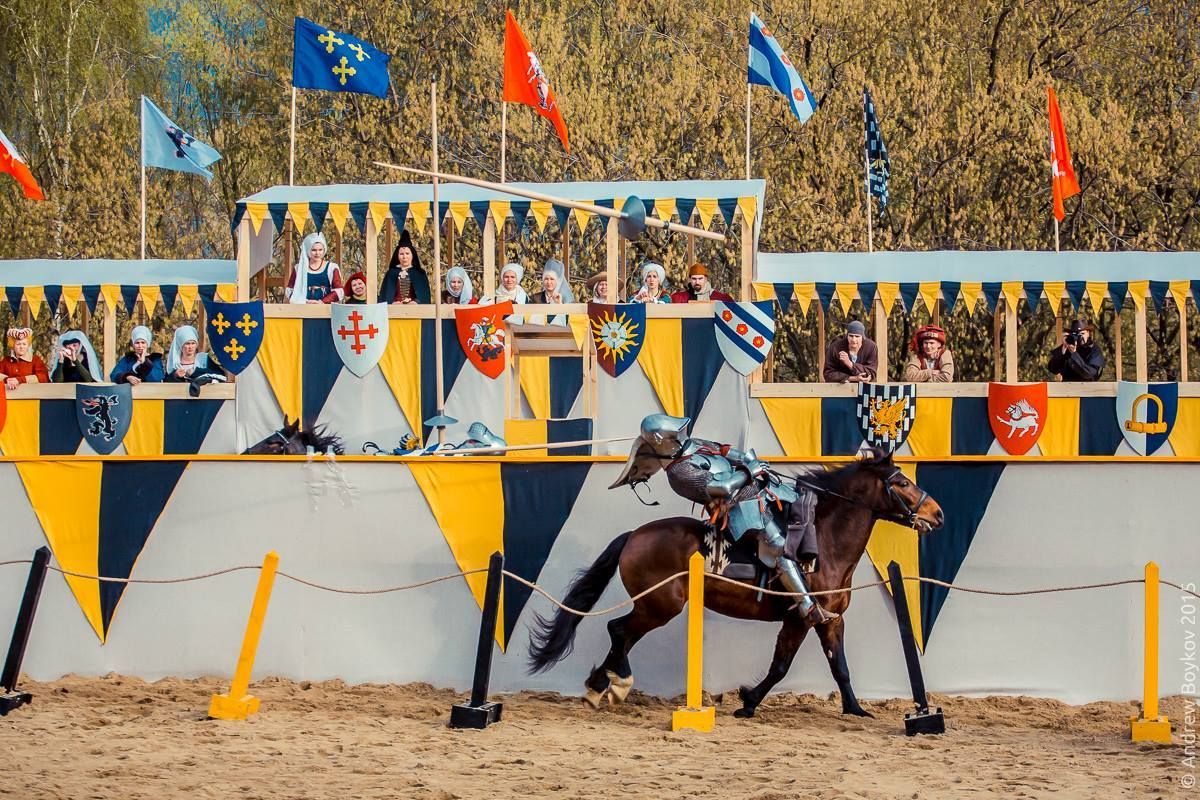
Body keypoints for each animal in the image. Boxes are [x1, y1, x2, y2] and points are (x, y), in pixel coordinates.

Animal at [527, 449, 944, 718]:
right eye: (901, 482)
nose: (937, 514)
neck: (824, 541)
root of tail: (633, 536)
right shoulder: (800, 618)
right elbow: (780, 667)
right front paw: (747, 702)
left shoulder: (831, 620)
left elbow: (838, 666)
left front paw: (856, 709)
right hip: (659, 606)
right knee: (619, 630)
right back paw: (615, 684)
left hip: (654, 606)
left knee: (622, 635)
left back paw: (600, 687)